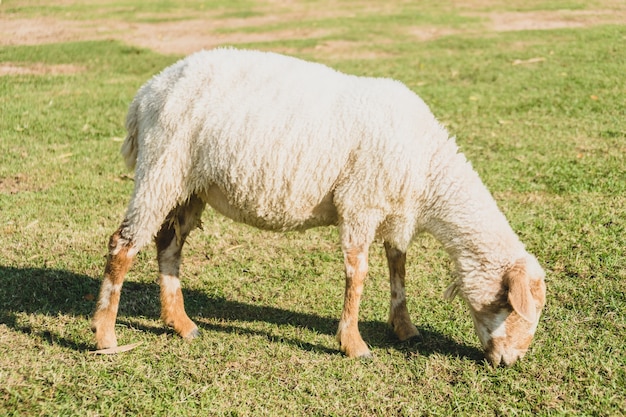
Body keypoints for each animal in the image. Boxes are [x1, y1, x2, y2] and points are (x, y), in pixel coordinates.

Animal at [90, 48, 544, 364]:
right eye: (512, 306)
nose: (510, 361)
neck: (431, 170)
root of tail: (146, 93)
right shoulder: (360, 201)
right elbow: (358, 273)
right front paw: (354, 344)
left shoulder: (393, 209)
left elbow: (398, 266)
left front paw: (404, 327)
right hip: (162, 165)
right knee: (122, 245)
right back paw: (106, 336)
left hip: (189, 184)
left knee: (168, 244)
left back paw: (181, 324)